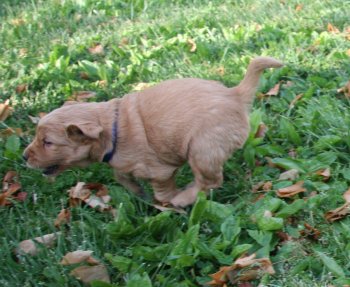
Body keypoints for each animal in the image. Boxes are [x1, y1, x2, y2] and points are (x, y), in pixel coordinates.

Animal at [23, 56, 284, 207]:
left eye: (47, 142)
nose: (24, 156)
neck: (112, 130)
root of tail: (234, 94)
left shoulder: (159, 171)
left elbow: (162, 192)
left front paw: (165, 201)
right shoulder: (122, 163)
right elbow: (121, 176)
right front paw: (138, 193)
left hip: (202, 148)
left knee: (209, 181)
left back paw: (183, 198)